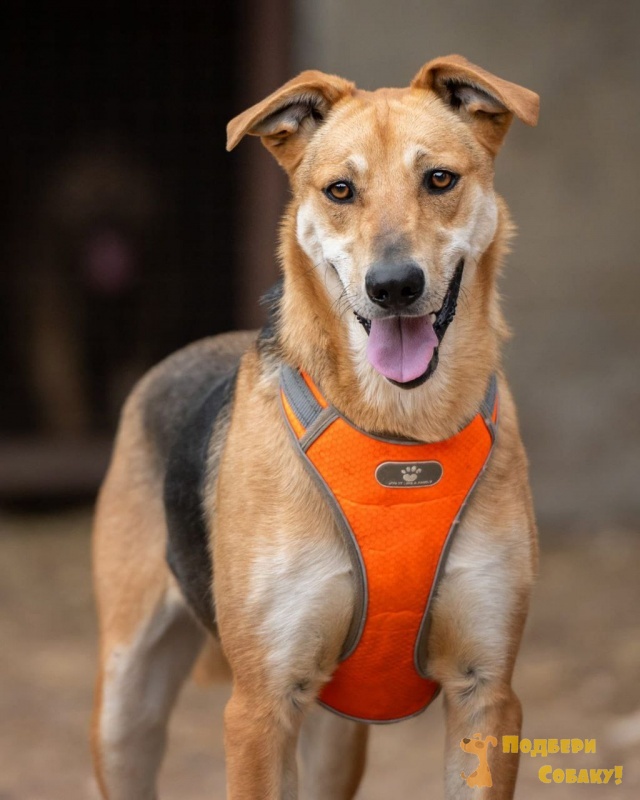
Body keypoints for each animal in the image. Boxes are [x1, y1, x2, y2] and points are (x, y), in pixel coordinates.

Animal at [92, 55, 539, 799]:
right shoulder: (260, 705)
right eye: (340, 191)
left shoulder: (487, 693)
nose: (393, 286)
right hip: (125, 711)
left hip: (337, 735)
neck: (400, 430)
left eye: (439, 179)